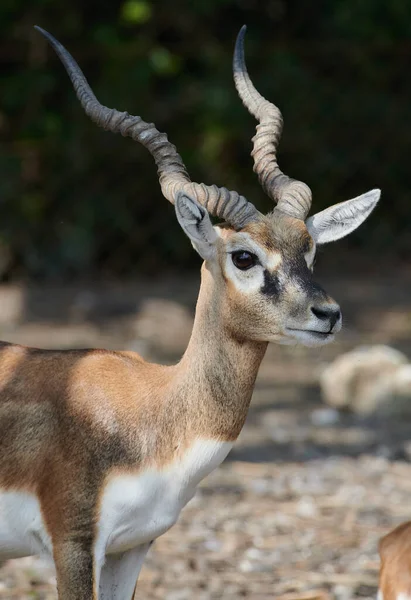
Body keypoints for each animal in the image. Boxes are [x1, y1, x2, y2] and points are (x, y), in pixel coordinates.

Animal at [0, 27, 382, 600]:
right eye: (243, 256)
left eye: (309, 248)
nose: (327, 313)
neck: (153, 410)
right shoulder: (72, 542)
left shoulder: (133, 546)